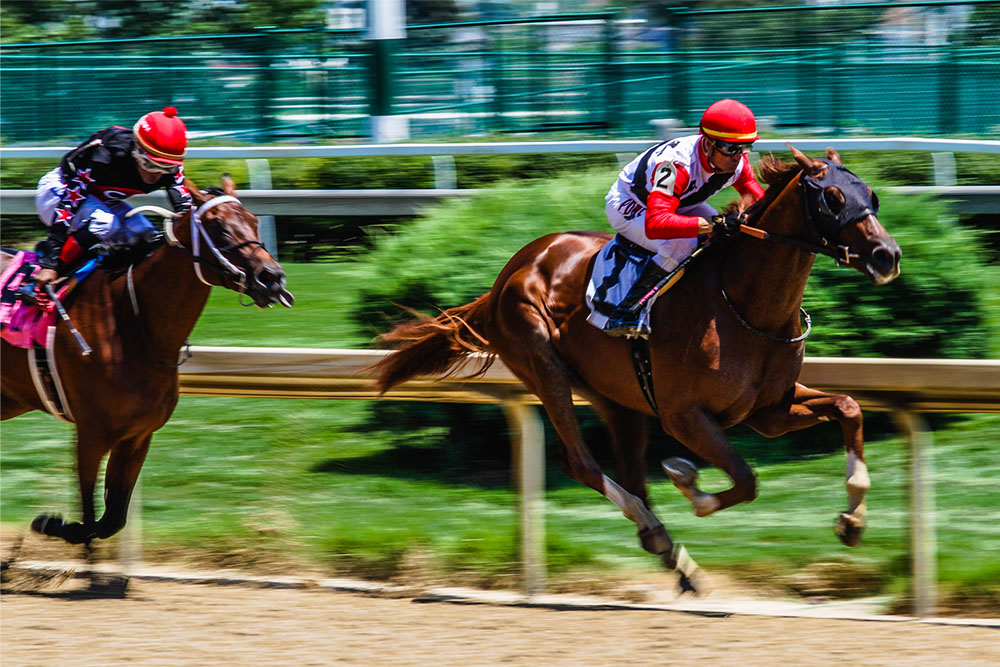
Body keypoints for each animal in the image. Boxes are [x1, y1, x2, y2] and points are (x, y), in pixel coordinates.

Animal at [1, 177, 292, 548]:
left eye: (254, 221)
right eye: (219, 228)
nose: (272, 278)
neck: (130, 324)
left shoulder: (137, 437)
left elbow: (111, 521)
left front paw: (55, 524)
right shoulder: (91, 434)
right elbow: (89, 520)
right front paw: (49, 522)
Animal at [374, 146, 900, 588]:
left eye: (871, 195)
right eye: (832, 197)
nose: (887, 255)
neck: (746, 306)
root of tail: (509, 272)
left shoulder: (769, 411)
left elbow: (849, 407)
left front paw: (852, 521)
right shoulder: (684, 416)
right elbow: (746, 480)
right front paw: (688, 481)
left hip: (616, 397)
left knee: (626, 471)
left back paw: (673, 555)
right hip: (543, 364)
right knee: (582, 462)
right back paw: (658, 530)